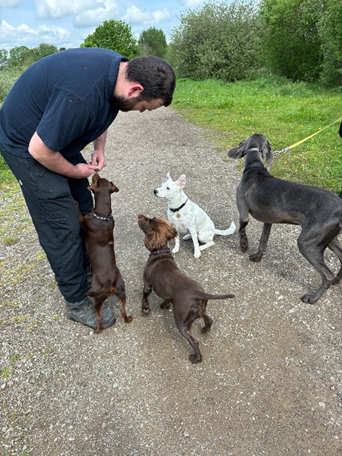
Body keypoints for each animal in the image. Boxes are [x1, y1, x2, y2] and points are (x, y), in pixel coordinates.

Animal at [80, 173, 132, 334]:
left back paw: (97, 330)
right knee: (123, 311)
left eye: (96, 180)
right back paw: (128, 319)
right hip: (122, 291)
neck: (103, 215)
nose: (95, 172)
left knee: (100, 317)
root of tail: (109, 281)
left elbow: (78, 212)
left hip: (97, 298)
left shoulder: (83, 220)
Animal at [138, 214, 234, 364]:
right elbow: (166, 299)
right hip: (200, 310)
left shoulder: (147, 285)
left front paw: (145, 311)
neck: (160, 252)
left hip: (181, 321)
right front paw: (164, 305)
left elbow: (144, 299)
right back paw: (205, 330)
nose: (139, 215)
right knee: (209, 319)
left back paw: (196, 358)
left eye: (148, 221)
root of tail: (198, 293)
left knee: (194, 341)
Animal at [227, 133, 342, 302]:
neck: (255, 166)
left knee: (327, 274)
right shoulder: (268, 220)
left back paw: (313, 298)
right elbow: (263, 241)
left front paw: (244, 246)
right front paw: (257, 257)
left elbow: (242, 229)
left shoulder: (243, 212)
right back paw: (337, 281)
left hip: (308, 243)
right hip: (328, 238)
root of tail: (340, 206)